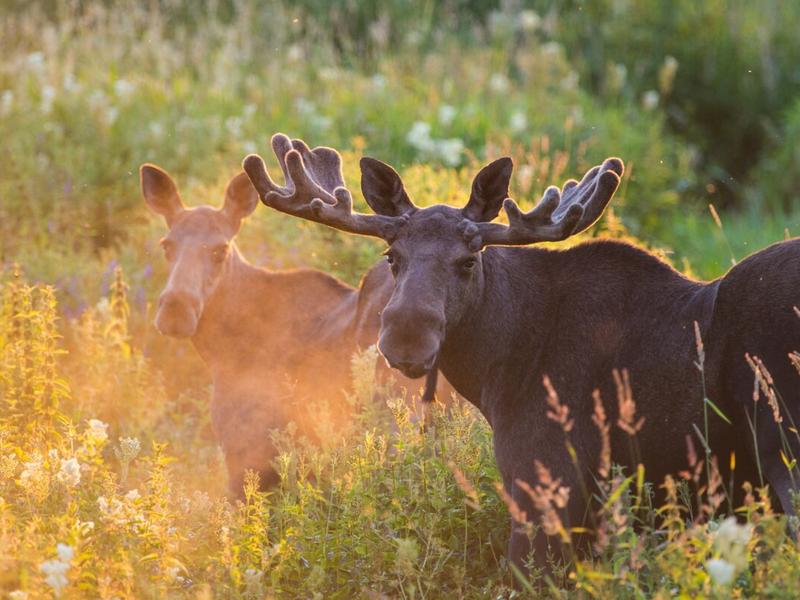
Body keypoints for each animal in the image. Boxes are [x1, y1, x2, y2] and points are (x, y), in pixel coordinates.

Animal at [243, 133, 800, 576]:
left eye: (468, 261)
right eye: (391, 256)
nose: (405, 339)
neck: (499, 370)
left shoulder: (543, 483)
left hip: (784, 451)